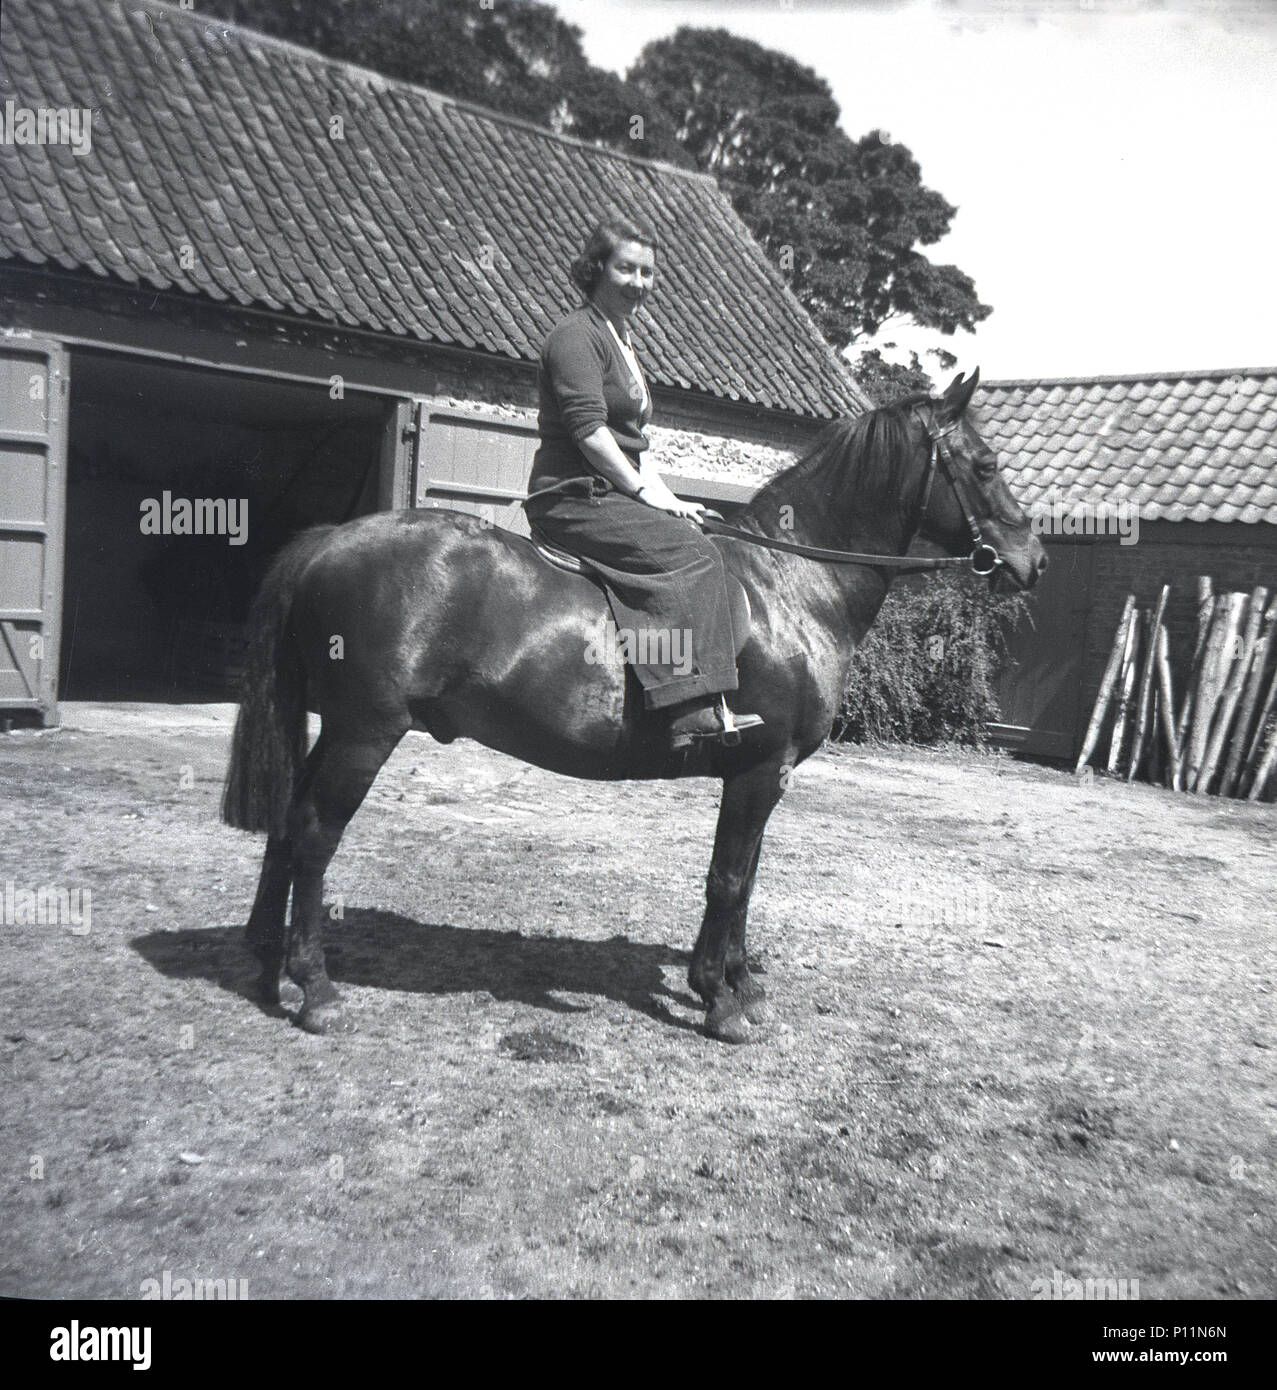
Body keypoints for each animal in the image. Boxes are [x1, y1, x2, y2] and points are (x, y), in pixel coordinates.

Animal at [221, 369, 1047, 1043]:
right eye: (985, 464)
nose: (1033, 560)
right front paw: (718, 999)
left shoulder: (763, 777)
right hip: (365, 732)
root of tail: (331, 541)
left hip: (339, 731)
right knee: (315, 835)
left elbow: (745, 879)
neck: (787, 585)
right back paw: (315, 988)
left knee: (287, 827)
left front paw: (740, 981)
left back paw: (266, 965)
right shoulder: (757, 771)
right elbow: (729, 879)